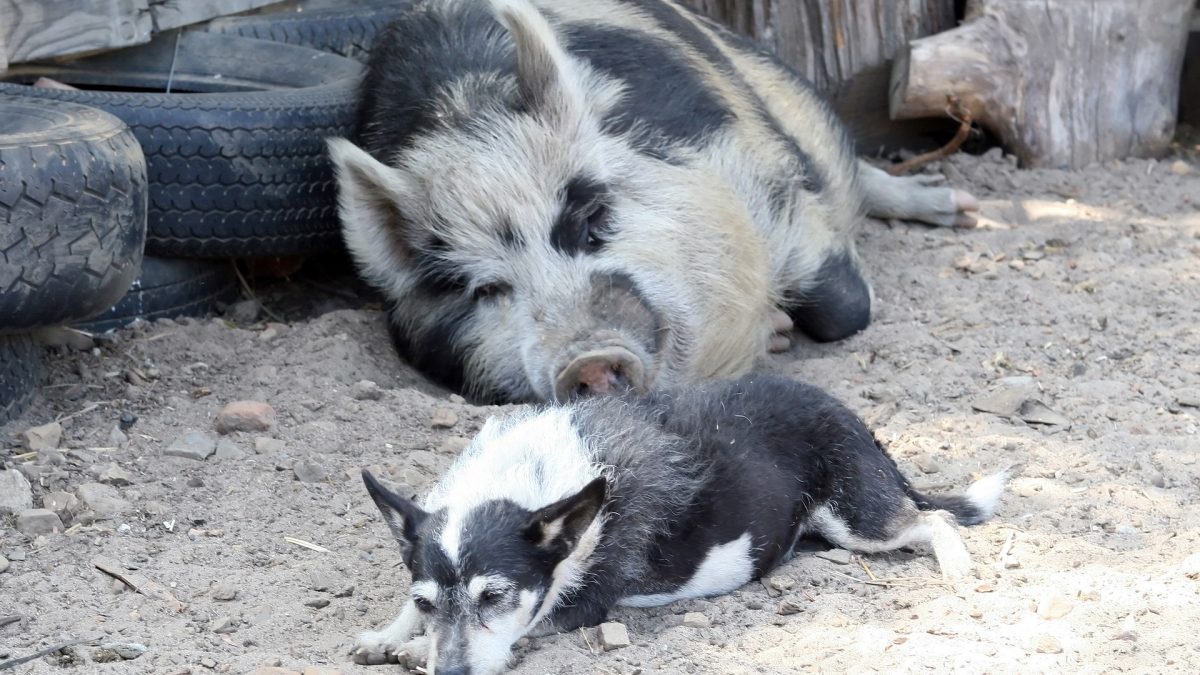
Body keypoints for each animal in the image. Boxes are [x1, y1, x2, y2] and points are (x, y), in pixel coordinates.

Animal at [326, 0, 974, 398]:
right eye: (486, 290)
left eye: (591, 221)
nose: (586, 359)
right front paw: (778, 332)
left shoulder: (762, 171)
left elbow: (845, 309)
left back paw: (959, 209)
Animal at [352, 374, 1003, 667]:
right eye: (430, 602)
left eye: (495, 597)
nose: (449, 671)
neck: (529, 479)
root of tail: (850, 413)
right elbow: (404, 612)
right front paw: (390, 636)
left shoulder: (581, 607)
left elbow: (524, 627)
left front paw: (414, 651)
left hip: (859, 519)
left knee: (931, 520)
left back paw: (956, 567)